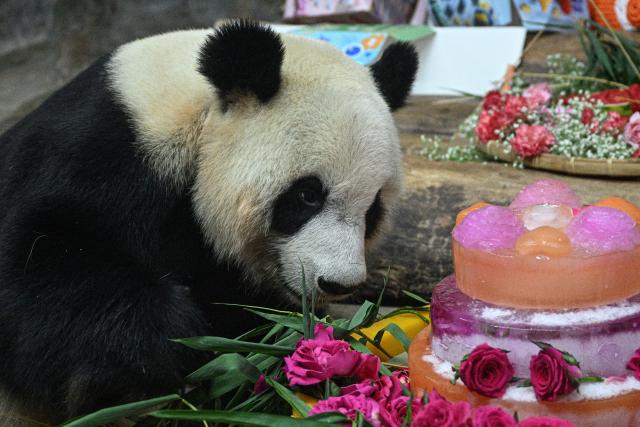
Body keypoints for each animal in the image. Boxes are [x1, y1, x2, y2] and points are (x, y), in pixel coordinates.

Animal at [0, 20, 417, 423]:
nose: (338, 283)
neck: (200, 114)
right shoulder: (96, 155)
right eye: (307, 195)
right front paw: (165, 345)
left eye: (373, 208)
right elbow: (39, 264)